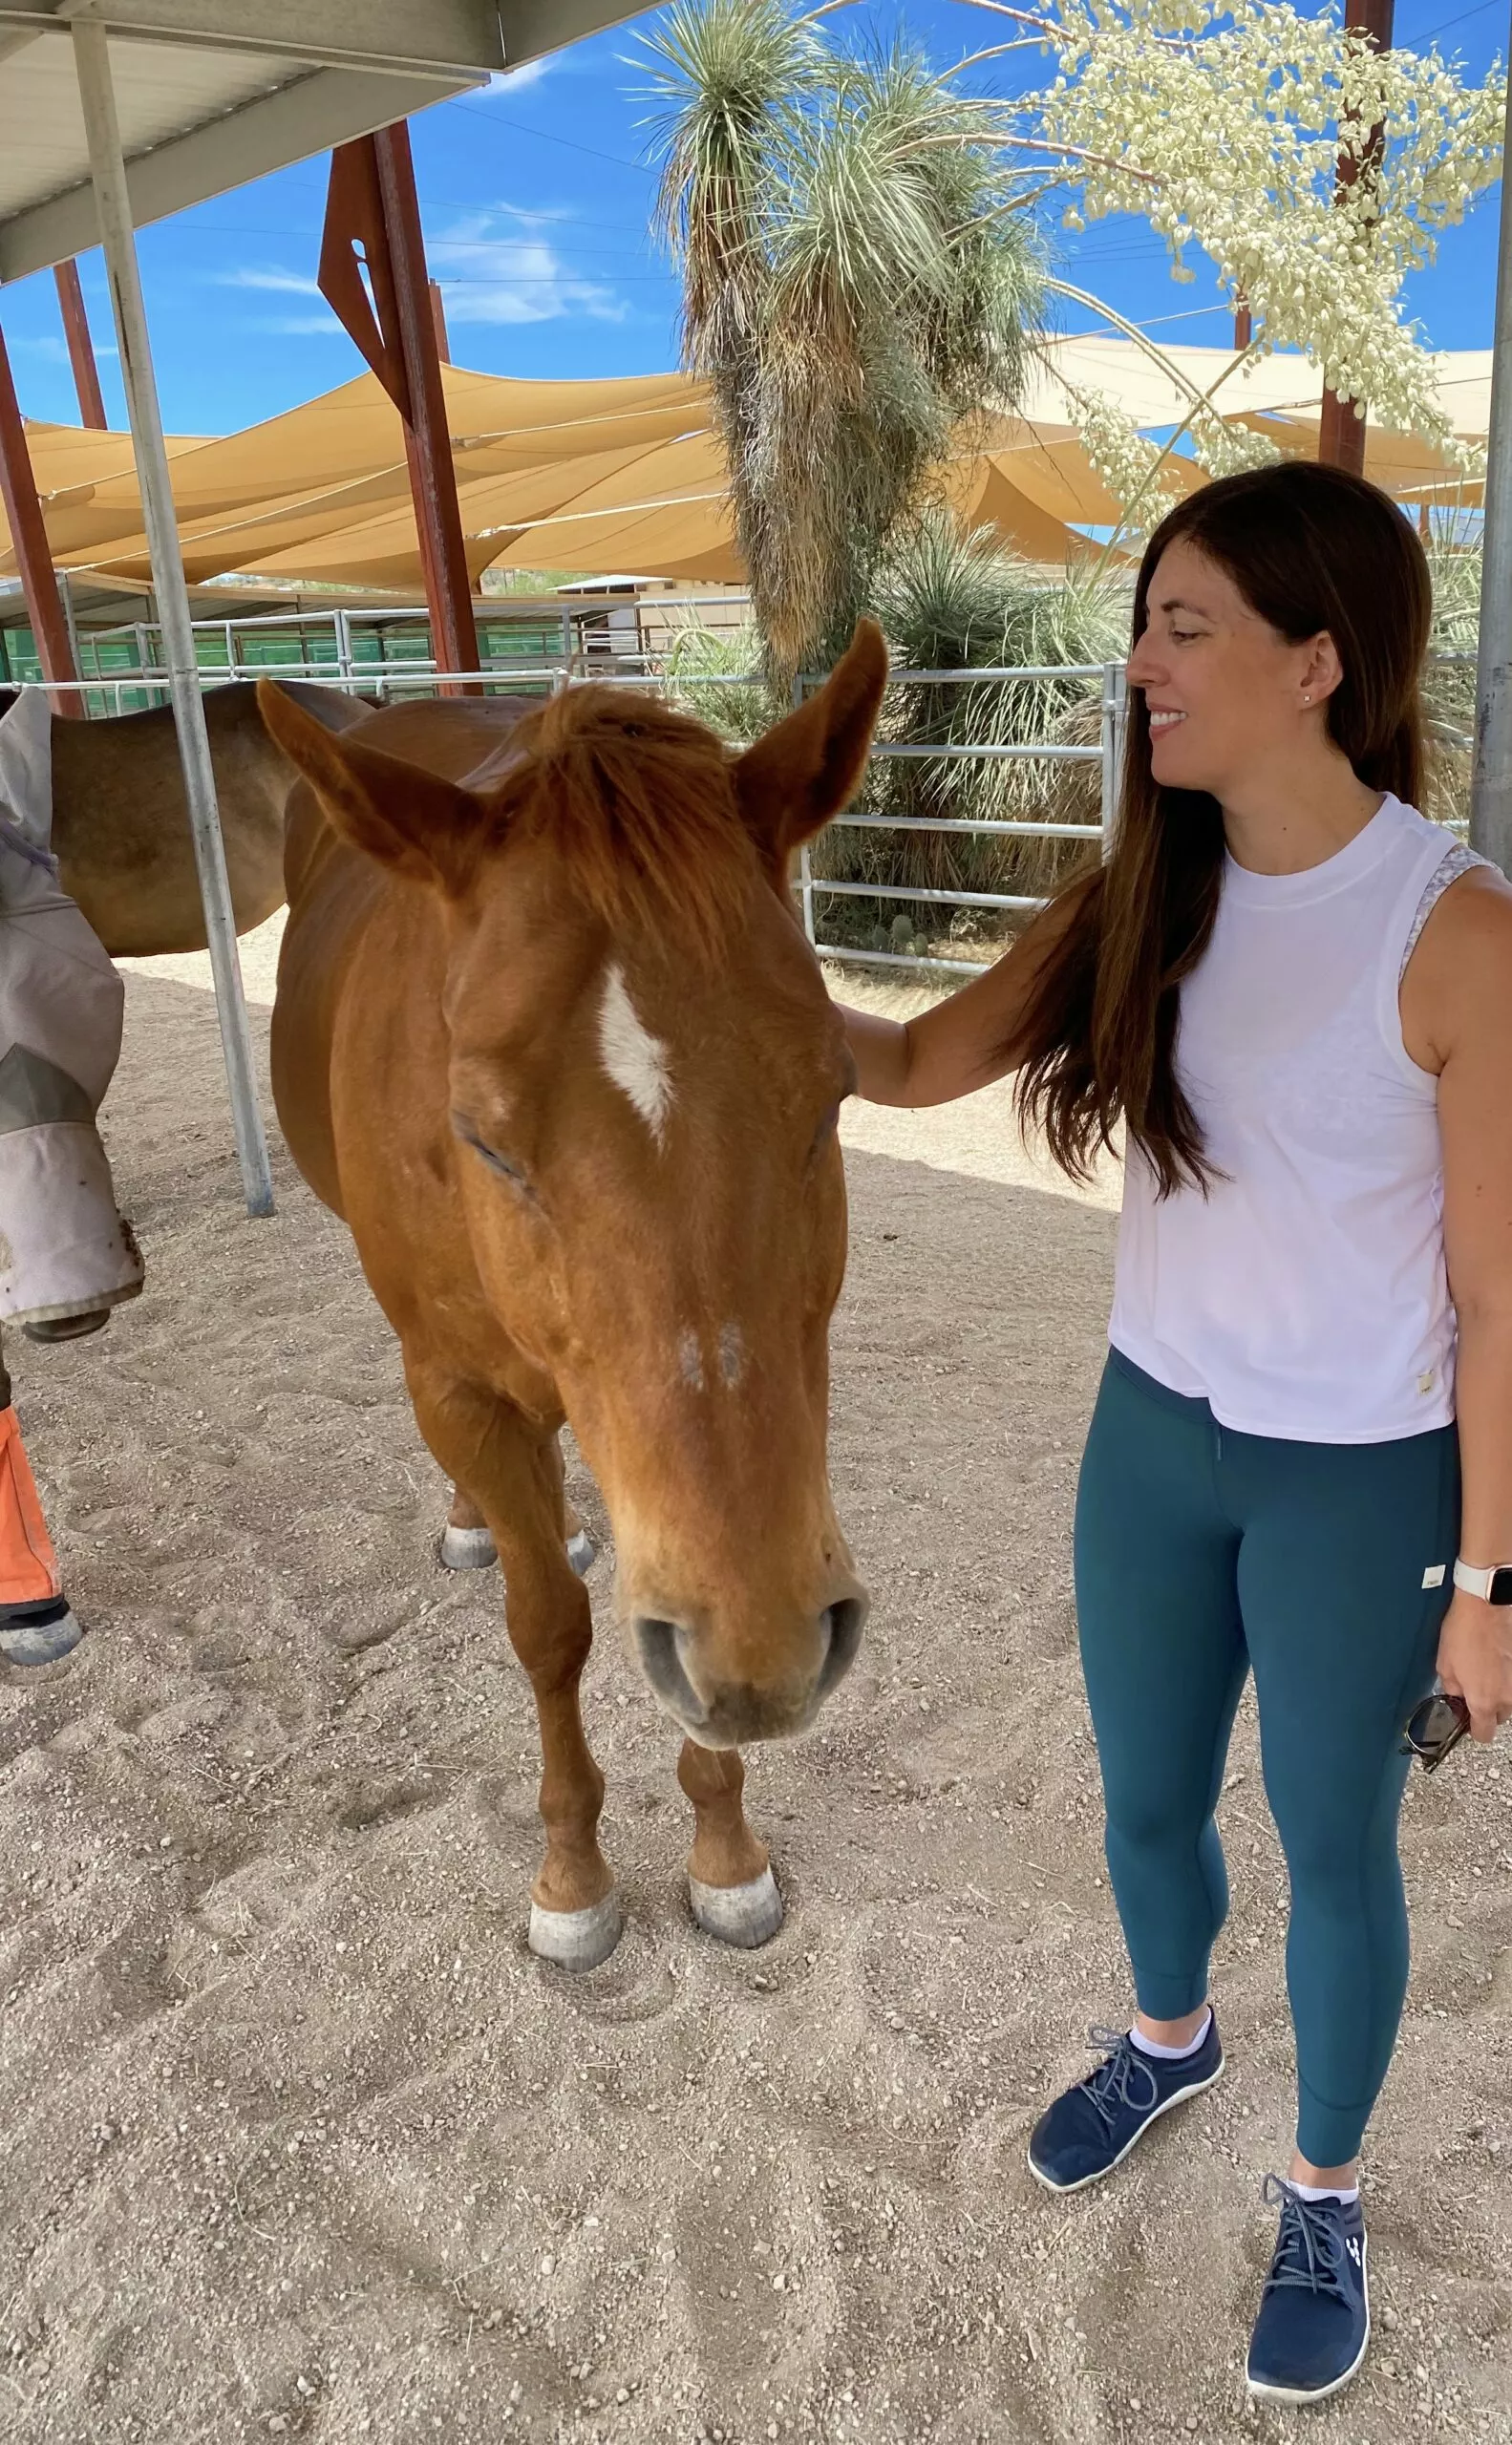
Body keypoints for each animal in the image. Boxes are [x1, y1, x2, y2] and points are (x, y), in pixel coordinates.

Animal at [258, 630, 881, 1966]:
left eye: (832, 1095)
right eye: (485, 1141)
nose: (769, 1646)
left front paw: (723, 1848)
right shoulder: (457, 1387)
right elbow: (548, 1626)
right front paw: (572, 1874)